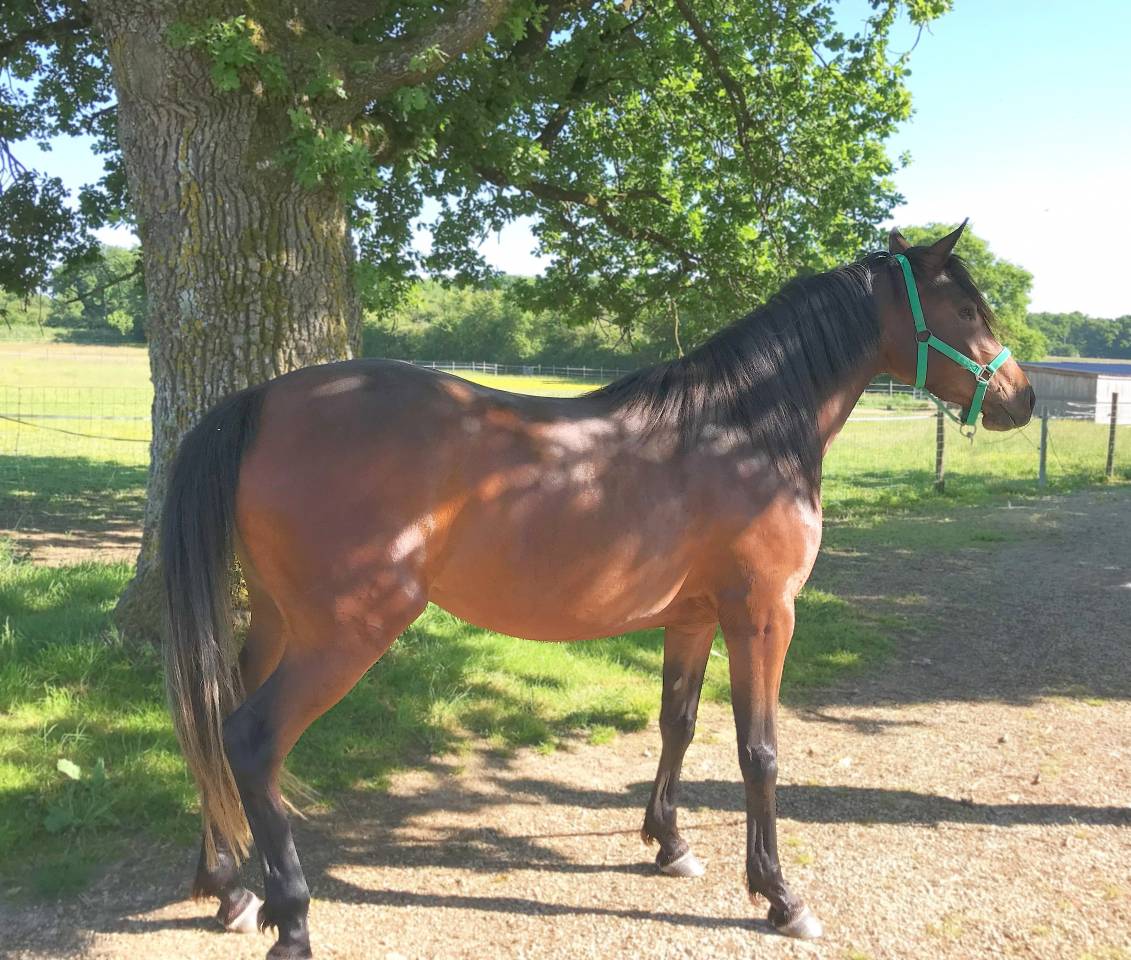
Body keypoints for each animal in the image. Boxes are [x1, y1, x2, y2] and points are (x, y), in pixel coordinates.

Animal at [162, 222, 1034, 959]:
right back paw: (291, 917)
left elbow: (677, 724)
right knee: (251, 739)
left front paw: (670, 845)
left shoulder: (692, 619)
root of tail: (261, 401)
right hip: (347, 632)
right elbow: (758, 752)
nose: (1021, 398)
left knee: (210, 716)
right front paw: (779, 896)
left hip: (279, 621)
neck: (741, 431)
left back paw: (228, 886)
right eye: (965, 307)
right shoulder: (762, 615)